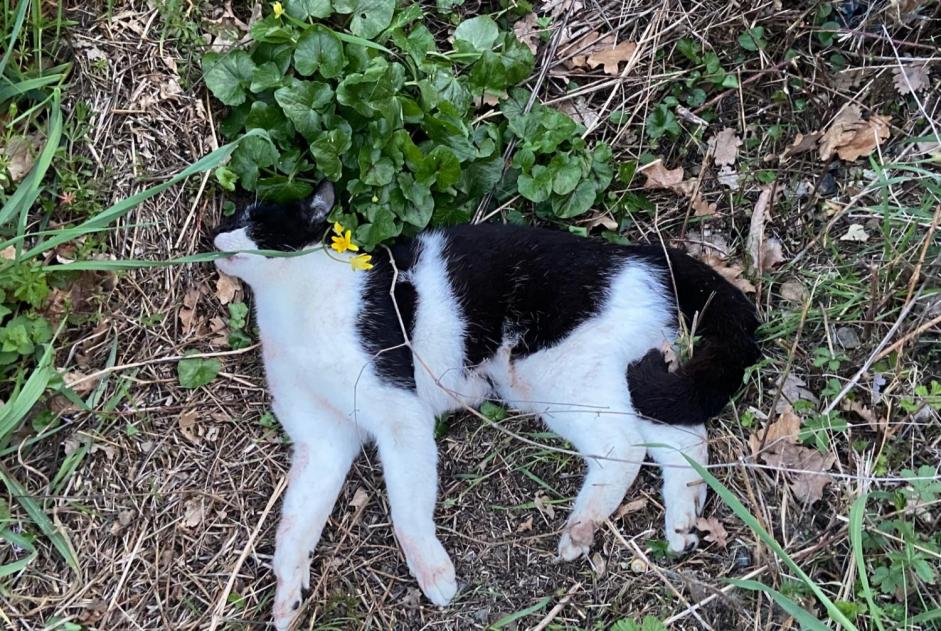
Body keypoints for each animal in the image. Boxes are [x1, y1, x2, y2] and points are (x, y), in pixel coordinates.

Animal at [211, 180, 756, 628]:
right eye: (229, 219)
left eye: (256, 224)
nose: (215, 239)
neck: (293, 309)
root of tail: (638, 254)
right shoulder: (321, 442)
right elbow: (294, 524)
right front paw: (287, 594)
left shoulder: (399, 413)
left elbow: (407, 509)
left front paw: (433, 572)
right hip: (592, 382)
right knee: (680, 433)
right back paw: (683, 519)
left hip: (552, 371)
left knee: (625, 446)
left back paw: (582, 528)